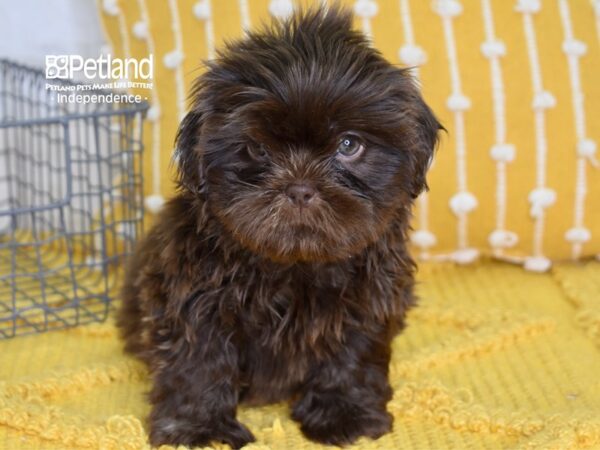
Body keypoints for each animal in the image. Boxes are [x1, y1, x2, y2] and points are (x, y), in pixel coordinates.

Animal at [119, 4, 440, 450]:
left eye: (349, 145)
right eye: (257, 148)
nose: (300, 188)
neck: (294, 266)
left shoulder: (369, 302)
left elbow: (350, 358)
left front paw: (345, 414)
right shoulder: (192, 301)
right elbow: (198, 364)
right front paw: (198, 429)